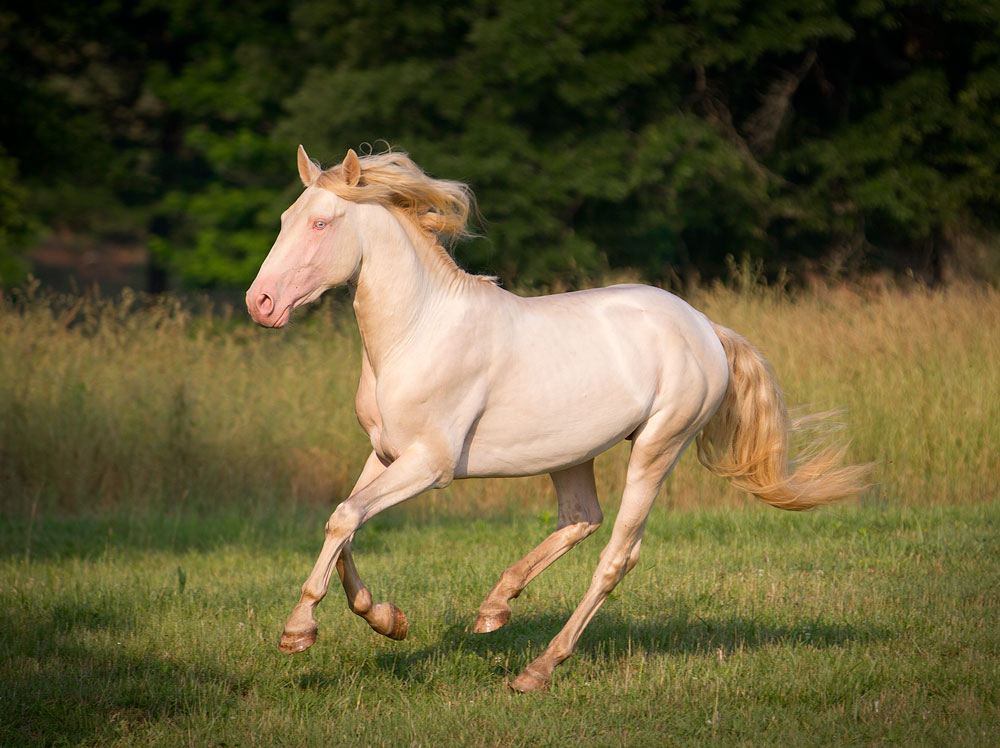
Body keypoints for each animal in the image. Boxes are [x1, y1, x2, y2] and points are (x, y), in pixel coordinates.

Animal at [244, 149, 868, 692]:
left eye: (320, 223)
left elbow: (345, 518)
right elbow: (344, 523)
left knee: (616, 555)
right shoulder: (385, 453)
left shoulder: (430, 465)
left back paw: (537, 670)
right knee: (581, 518)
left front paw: (299, 633)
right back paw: (494, 609)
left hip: (658, 446)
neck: (418, 332)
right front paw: (386, 619)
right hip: (572, 453)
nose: (261, 304)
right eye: (286, 219)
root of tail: (705, 328)